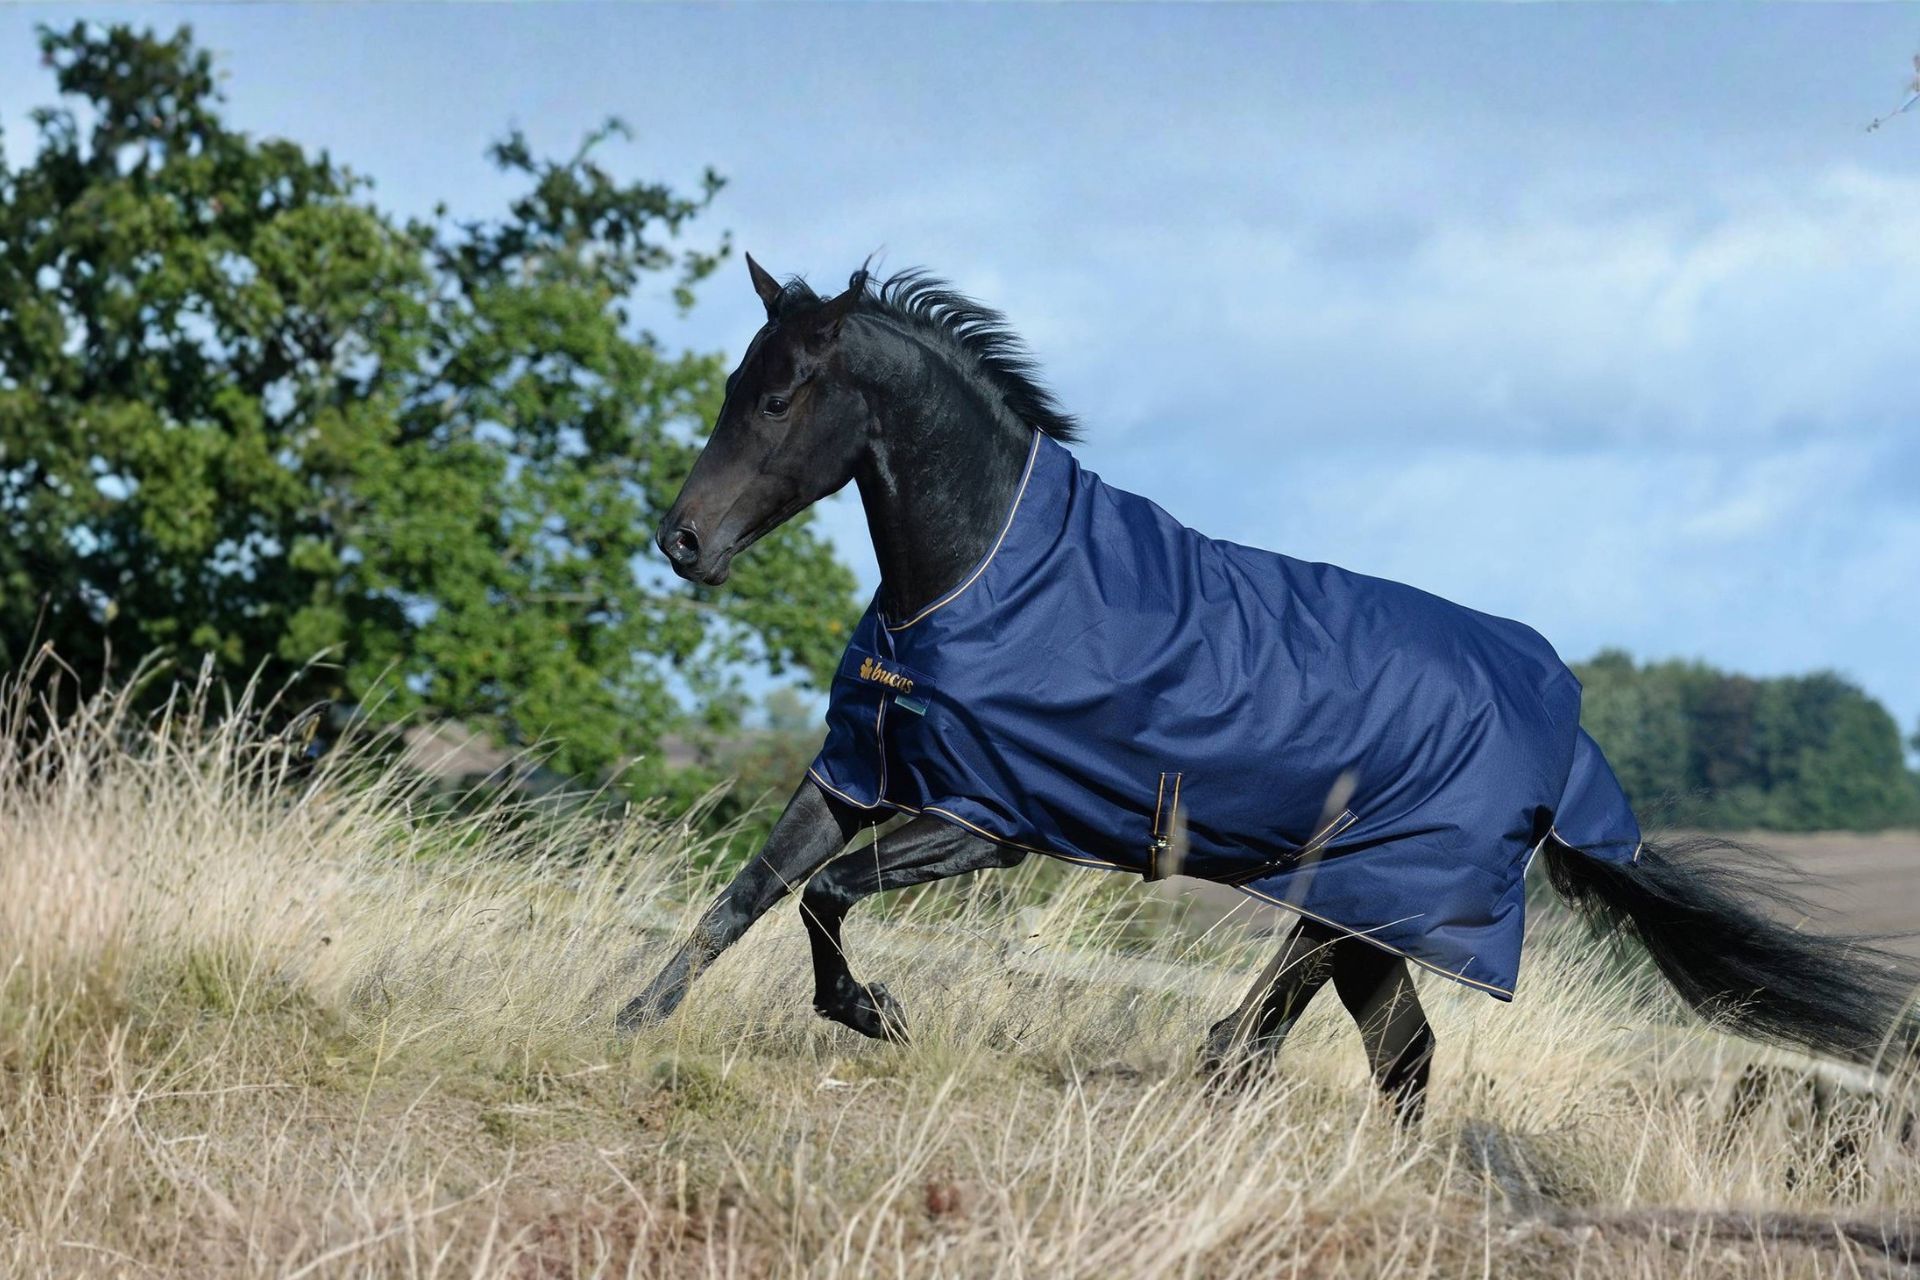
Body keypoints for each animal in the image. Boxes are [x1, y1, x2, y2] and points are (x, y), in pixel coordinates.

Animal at [617, 255, 1920, 1123]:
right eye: (734, 380)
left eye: (779, 395)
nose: (684, 542)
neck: (979, 571)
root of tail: (1566, 734)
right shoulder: (856, 773)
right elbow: (744, 897)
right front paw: (627, 1017)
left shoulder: (985, 819)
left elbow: (823, 896)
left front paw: (874, 1012)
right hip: (1368, 913)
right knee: (1389, 1053)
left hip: (1370, 896)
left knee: (1305, 1037)